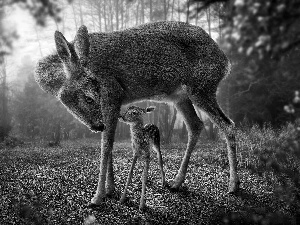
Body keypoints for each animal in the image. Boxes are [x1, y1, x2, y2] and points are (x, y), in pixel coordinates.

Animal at [35, 21, 240, 207]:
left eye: (92, 97)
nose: (97, 125)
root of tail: (226, 62)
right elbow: (109, 142)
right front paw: (110, 190)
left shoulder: (113, 92)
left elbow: (106, 145)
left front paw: (97, 197)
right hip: (180, 96)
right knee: (196, 125)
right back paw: (176, 182)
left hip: (201, 87)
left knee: (228, 124)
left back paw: (233, 186)